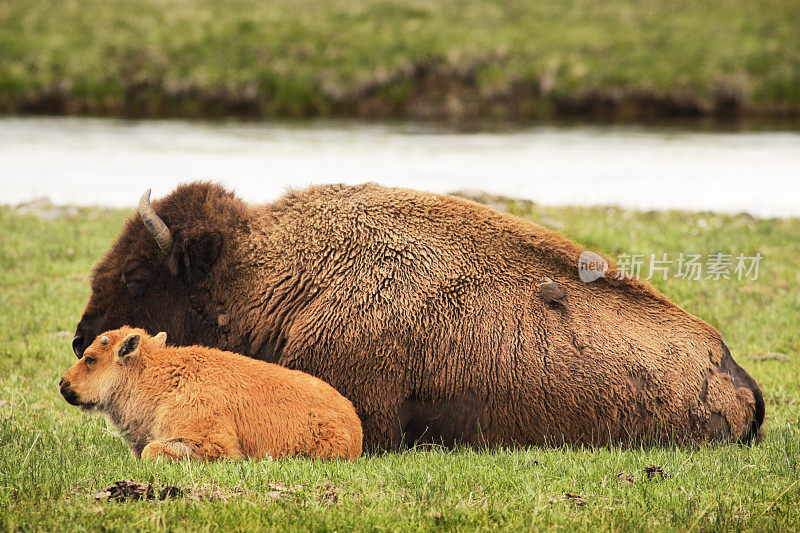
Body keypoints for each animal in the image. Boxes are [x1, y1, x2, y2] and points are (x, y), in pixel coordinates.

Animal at [59, 326, 362, 460]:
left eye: (90, 359)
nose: (63, 383)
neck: (160, 380)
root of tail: (354, 424)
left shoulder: (212, 441)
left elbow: (151, 450)